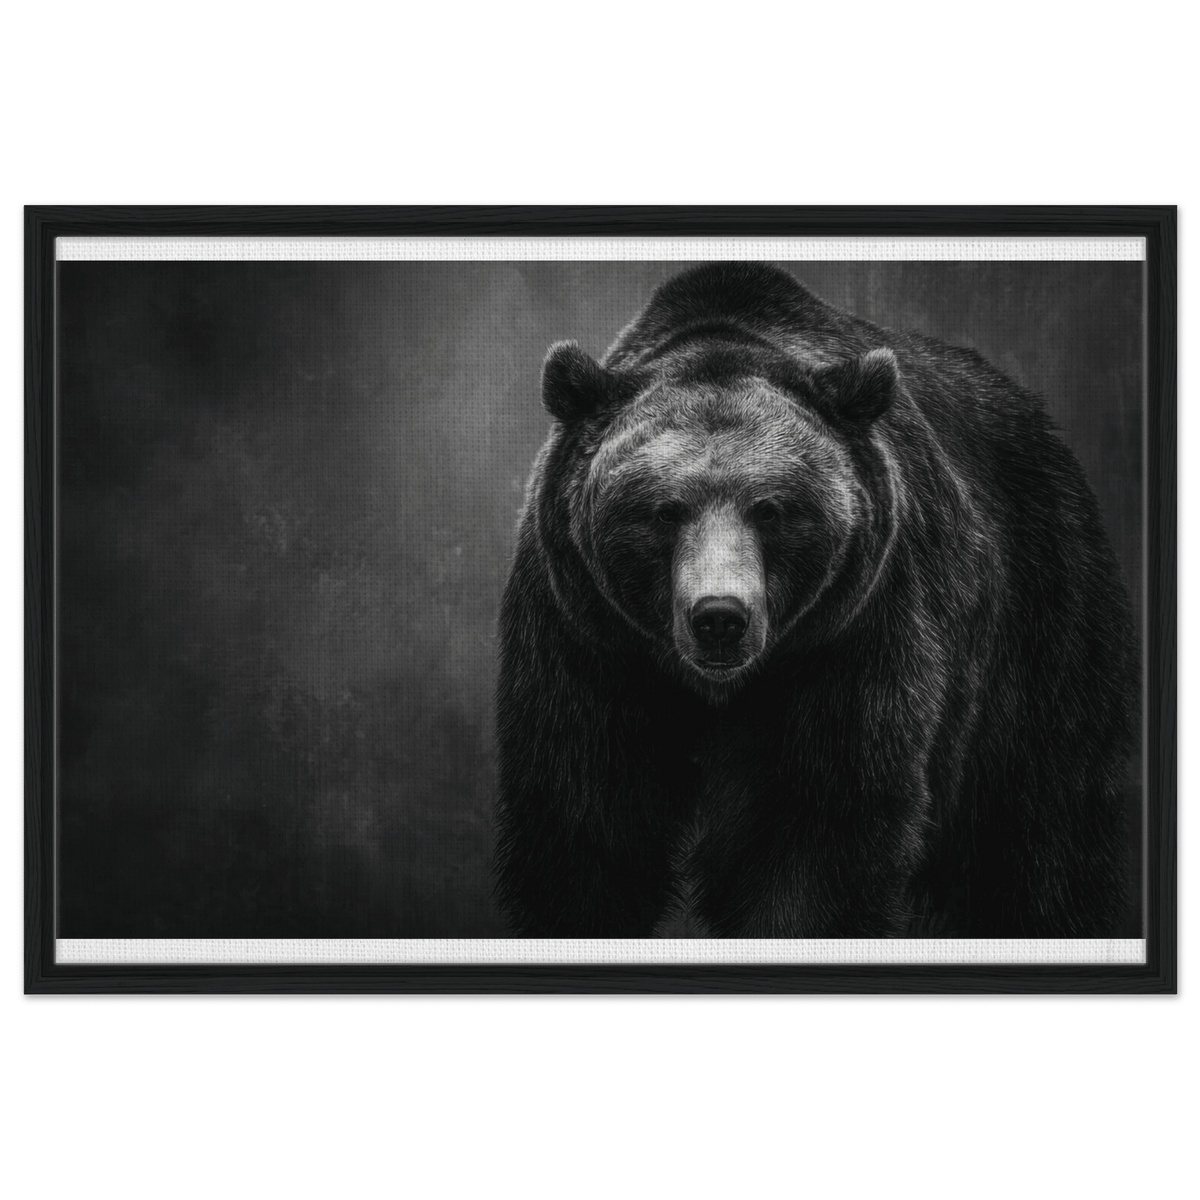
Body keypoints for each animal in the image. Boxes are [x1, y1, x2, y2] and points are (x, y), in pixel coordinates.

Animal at [493, 262, 1137, 938]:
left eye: (771, 509)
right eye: (664, 511)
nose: (719, 618)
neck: (720, 690)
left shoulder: (853, 636)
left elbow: (817, 830)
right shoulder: (587, 640)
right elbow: (585, 820)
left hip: (1042, 621)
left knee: (1039, 834)